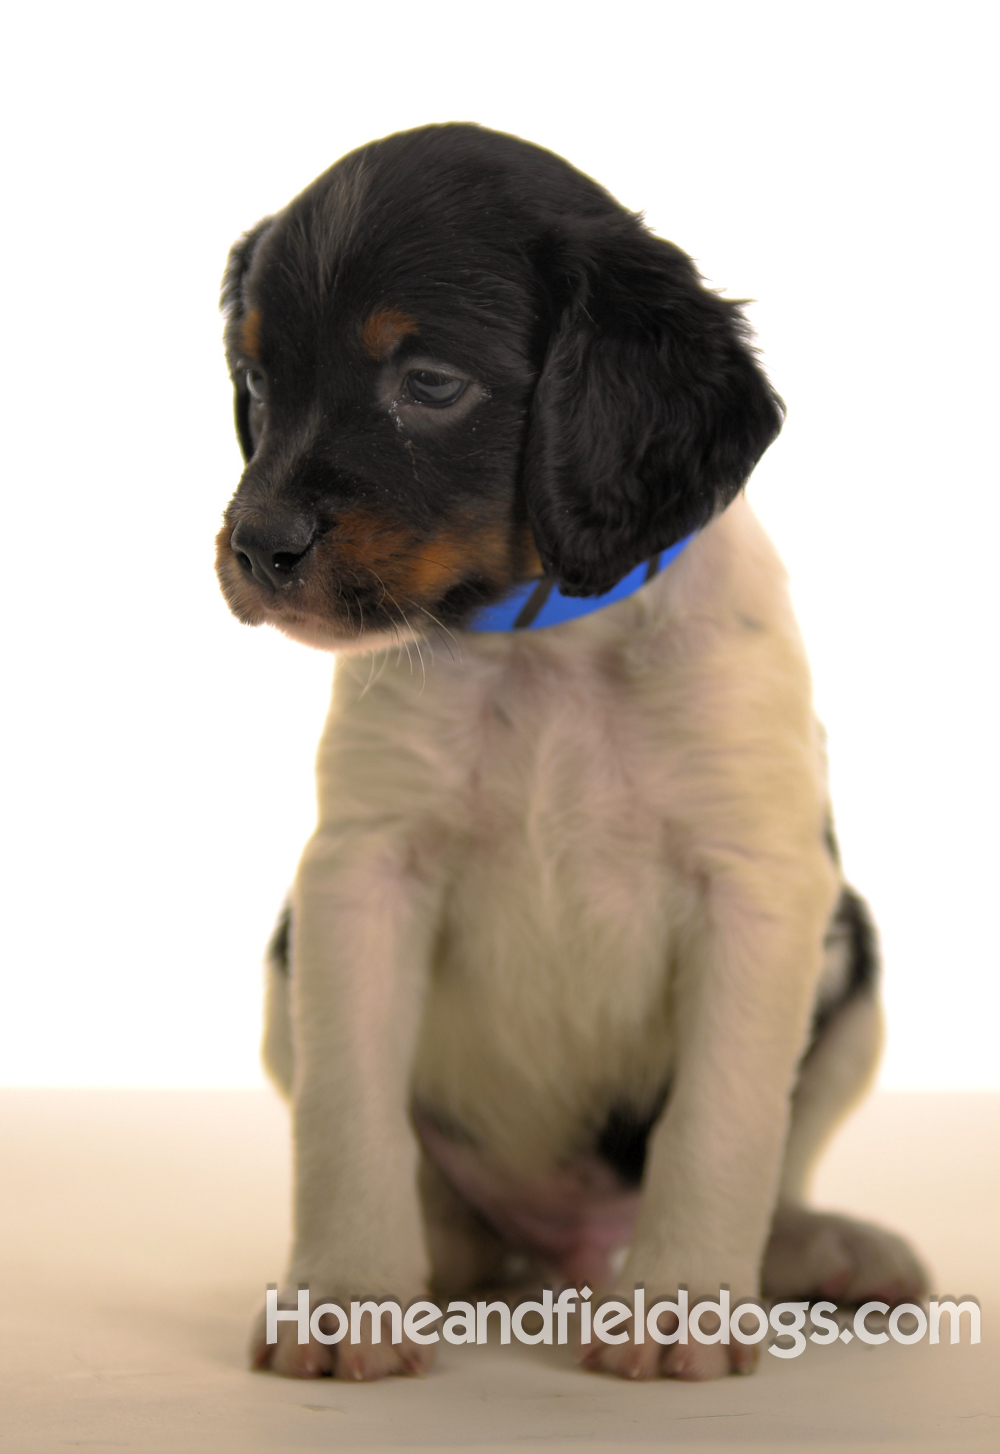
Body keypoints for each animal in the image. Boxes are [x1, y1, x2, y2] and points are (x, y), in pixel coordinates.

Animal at [215, 122, 924, 1372]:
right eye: (256, 380)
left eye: (430, 383)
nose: (257, 544)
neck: (545, 648)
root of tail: (563, 1250)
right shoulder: (357, 876)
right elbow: (349, 1120)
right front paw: (344, 1297)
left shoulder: (761, 888)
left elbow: (721, 1119)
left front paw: (681, 1304)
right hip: (285, 971)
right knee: (438, 1198)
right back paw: (435, 1262)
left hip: (857, 968)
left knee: (781, 1166)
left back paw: (818, 1247)